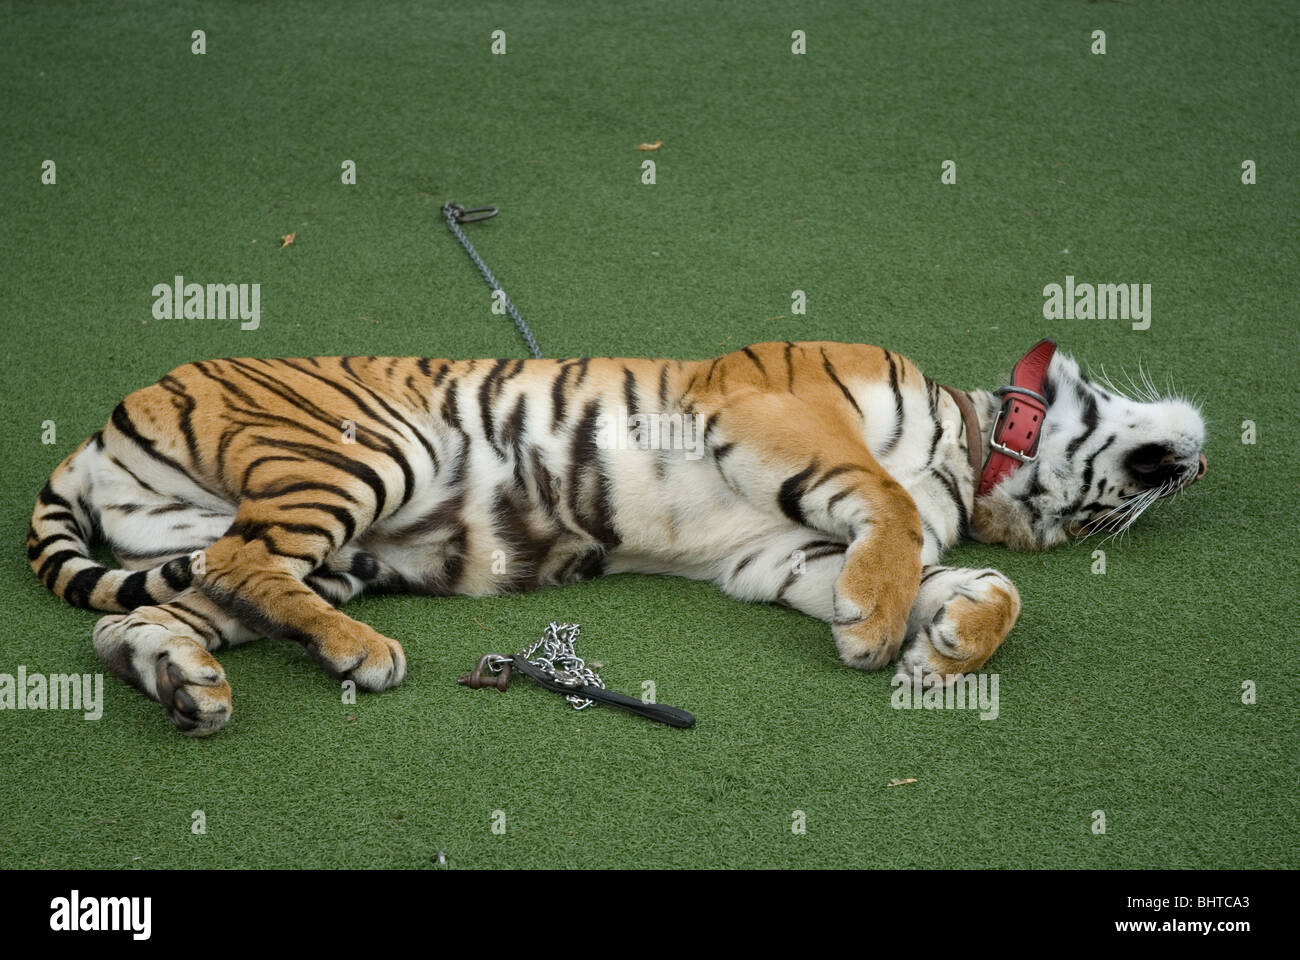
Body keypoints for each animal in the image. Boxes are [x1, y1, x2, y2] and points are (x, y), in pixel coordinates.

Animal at [27, 338, 1206, 733]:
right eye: (1114, 508)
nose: (1195, 464)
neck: (978, 451)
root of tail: (98, 429)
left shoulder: (778, 554)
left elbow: (968, 577)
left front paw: (941, 644)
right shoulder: (767, 400)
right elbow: (891, 500)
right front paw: (883, 627)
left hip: (284, 553)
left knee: (151, 612)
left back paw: (187, 686)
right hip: (360, 454)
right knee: (240, 558)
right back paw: (364, 656)